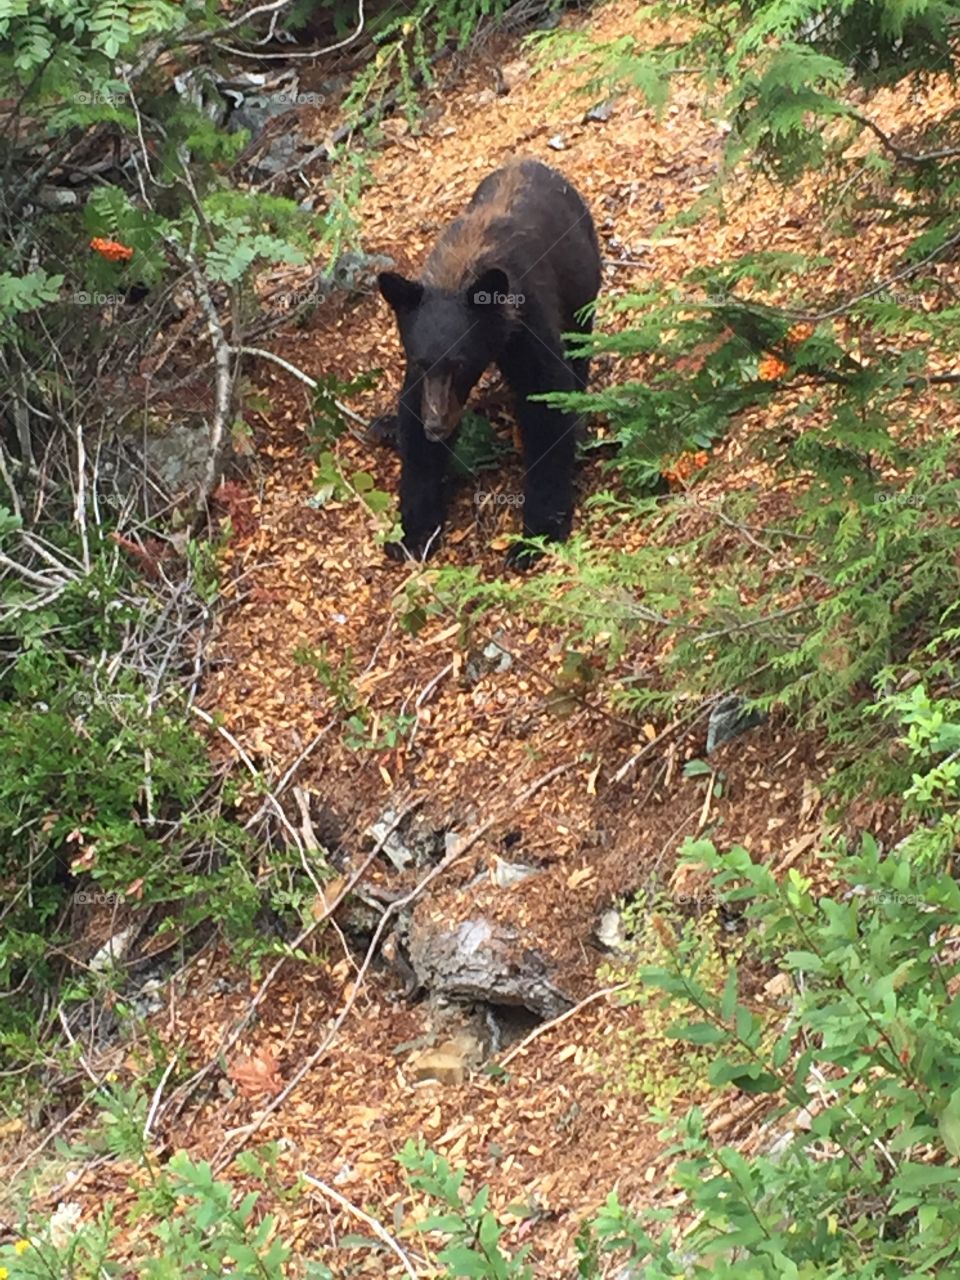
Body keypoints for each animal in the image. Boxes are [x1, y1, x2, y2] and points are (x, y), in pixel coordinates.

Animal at [377, 156, 601, 566]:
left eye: (459, 363)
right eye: (422, 361)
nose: (436, 426)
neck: (461, 271)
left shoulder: (526, 324)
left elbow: (547, 403)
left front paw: (535, 534)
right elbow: (413, 426)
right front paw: (413, 531)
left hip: (582, 285)